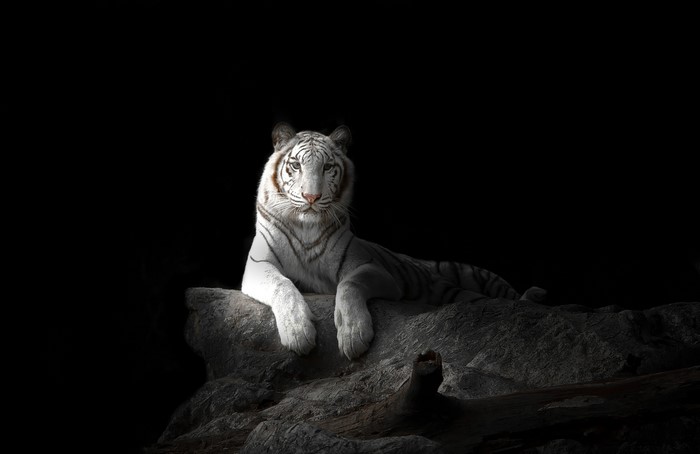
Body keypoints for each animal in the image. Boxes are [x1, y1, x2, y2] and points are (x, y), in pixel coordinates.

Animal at [241, 122, 546, 360]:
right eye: (295, 165)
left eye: (327, 167)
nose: (311, 197)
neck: (306, 227)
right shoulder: (257, 265)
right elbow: (282, 285)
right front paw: (298, 332)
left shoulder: (374, 270)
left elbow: (349, 285)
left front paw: (353, 335)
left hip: (478, 278)